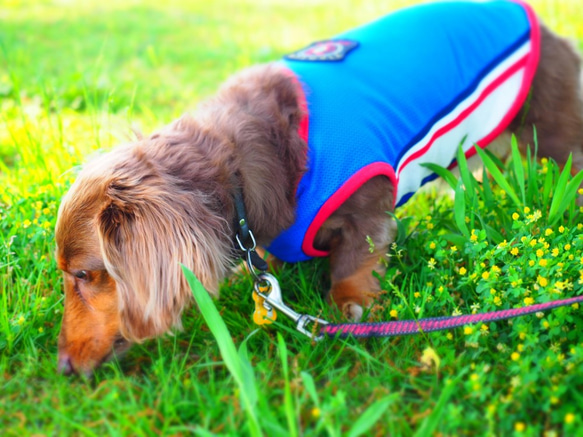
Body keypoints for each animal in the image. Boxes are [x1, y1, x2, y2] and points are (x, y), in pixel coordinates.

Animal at [56, 0, 583, 374]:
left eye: (83, 275)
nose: (62, 367)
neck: (241, 168)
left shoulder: (369, 205)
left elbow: (355, 264)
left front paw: (350, 308)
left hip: (552, 140)